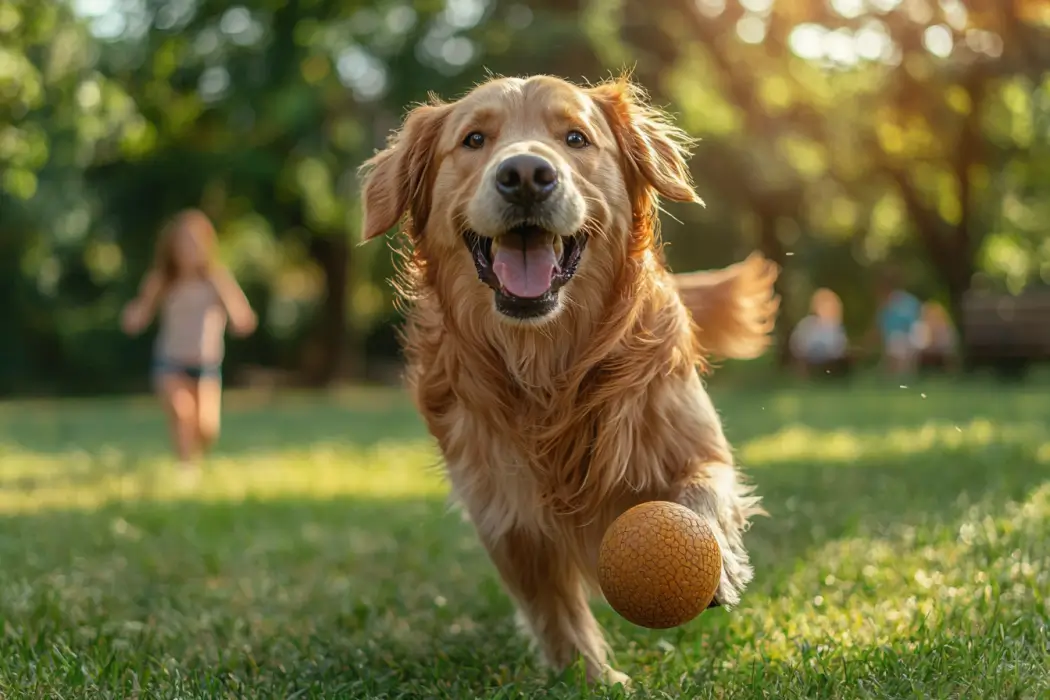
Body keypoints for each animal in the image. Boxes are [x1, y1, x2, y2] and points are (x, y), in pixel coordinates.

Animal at [356, 73, 776, 688]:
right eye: (474, 139)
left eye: (576, 137)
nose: (526, 174)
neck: (550, 367)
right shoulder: (503, 511)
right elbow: (551, 607)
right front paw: (590, 677)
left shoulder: (693, 440)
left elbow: (703, 490)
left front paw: (715, 563)